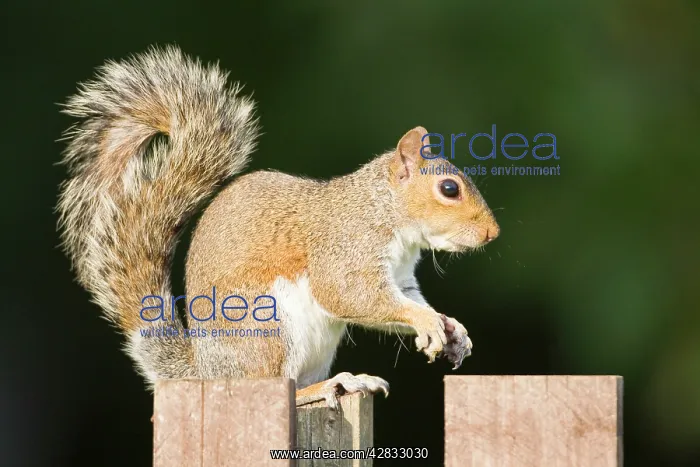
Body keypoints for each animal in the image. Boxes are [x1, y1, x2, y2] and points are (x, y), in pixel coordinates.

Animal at [57, 46, 500, 408]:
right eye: (449, 189)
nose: (491, 233)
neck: (384, 210)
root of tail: (206, 373)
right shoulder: (346, 245)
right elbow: (350, 293)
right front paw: (426, 323)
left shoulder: (401, 274)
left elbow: (407, 297)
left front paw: (451, 328)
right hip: (266, 328)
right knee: (276, 385)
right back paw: (329, 386)